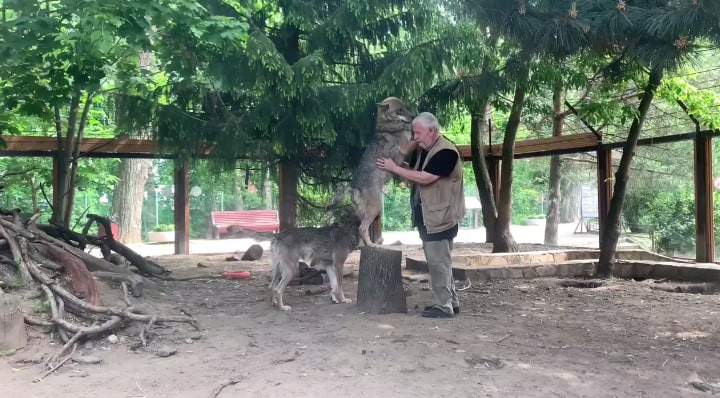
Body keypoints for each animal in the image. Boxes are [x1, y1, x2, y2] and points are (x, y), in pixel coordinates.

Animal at [330, 96, 416, 246]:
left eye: (405, 107)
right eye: (400, 110)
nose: (413, 116)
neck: (388, 123)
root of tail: (354, 188)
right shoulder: (406, 146)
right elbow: (416, 140)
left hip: (369, 213)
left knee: (361, 231)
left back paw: (370, 244)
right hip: (376, 209)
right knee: (362, 228)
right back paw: (372, 245)